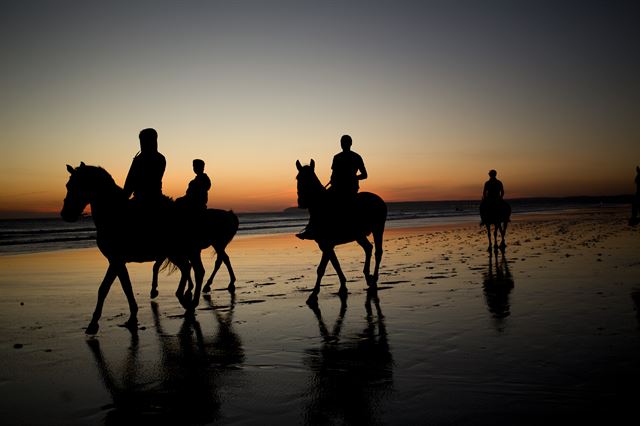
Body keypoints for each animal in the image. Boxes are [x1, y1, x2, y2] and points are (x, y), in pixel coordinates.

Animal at [62, 163, 214, 332]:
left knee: (196, 271)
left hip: (184, 252)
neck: (114, 214)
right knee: (188, 269)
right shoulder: (116, 262)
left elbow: (108, 288)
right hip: (176, 253)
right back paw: (184, 297)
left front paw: (95, 323)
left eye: (78, 186)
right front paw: (129, 316)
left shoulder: (116, 260)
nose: (65, 214)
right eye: (68, 185)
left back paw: (190, 300)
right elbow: (121, 287)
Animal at [294, 159, 384, 302]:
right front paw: (343, 286)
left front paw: (313, 294)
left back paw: (374, 279)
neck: (321, 208)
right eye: (298, 178)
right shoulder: (325, 245)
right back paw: (367, 276)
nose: (302, 202)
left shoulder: (327, 244)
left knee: (378, 252)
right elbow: (335, 264)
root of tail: (379, 199)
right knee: (368, 248)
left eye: (310, 178)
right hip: (359, 235)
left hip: (378, 229)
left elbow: (321, 269)